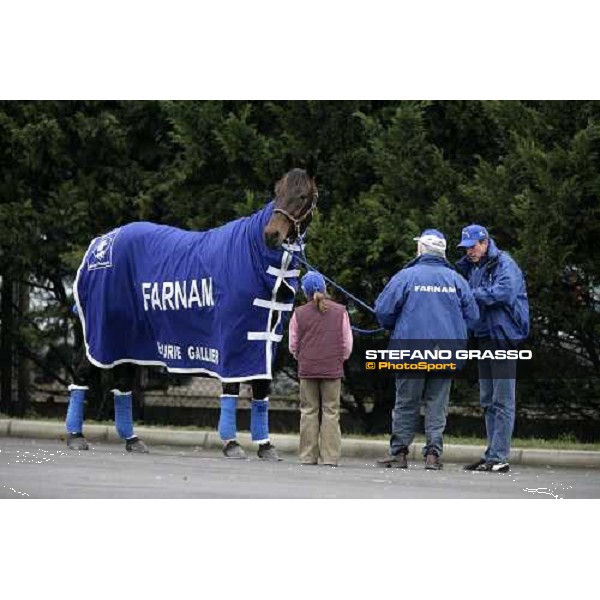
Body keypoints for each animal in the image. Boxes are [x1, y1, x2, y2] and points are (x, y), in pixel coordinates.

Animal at [65, 165, 318, 460]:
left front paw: (266, 446)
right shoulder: (232, 340)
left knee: (124, 383)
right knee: (83, 371)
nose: (272, 234)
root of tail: (101, 243)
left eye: (303, 195)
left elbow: (261, 387)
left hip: (127, 340)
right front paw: (232, 444)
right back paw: (76, 436)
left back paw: (132, 439)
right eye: (277, 192)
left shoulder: (266, 340)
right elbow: (231, 387)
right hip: (101, 332)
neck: (254, 257)